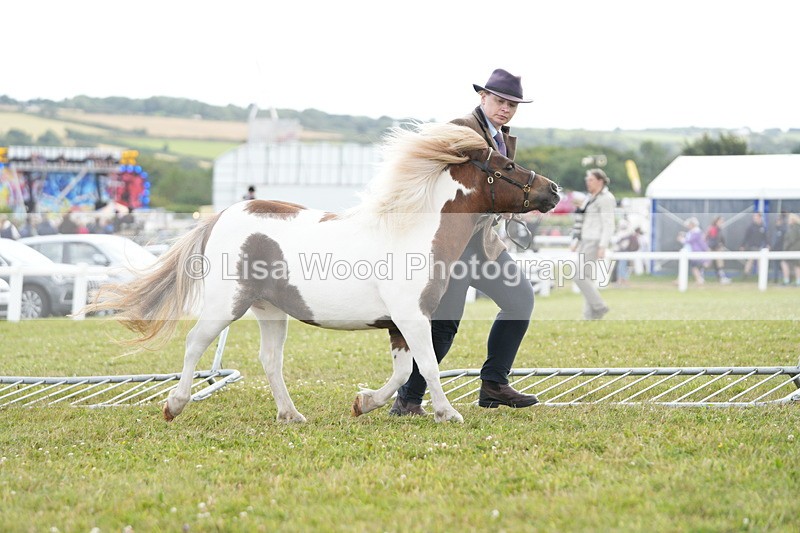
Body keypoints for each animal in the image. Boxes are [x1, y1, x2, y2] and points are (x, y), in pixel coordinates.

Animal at [87, 122, 560, 423]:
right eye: (507, 166)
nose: (553, 190)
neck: (411, 229)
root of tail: (223, 215)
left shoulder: (397, 325)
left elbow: (404, 371)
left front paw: (363, 403)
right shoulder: (411, 317)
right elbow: (427, 365)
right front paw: (448, 413)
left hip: (269, 310)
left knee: (270, 361)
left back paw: (291, 415)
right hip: (227, 304)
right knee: (193, 344)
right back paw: (175, 405)